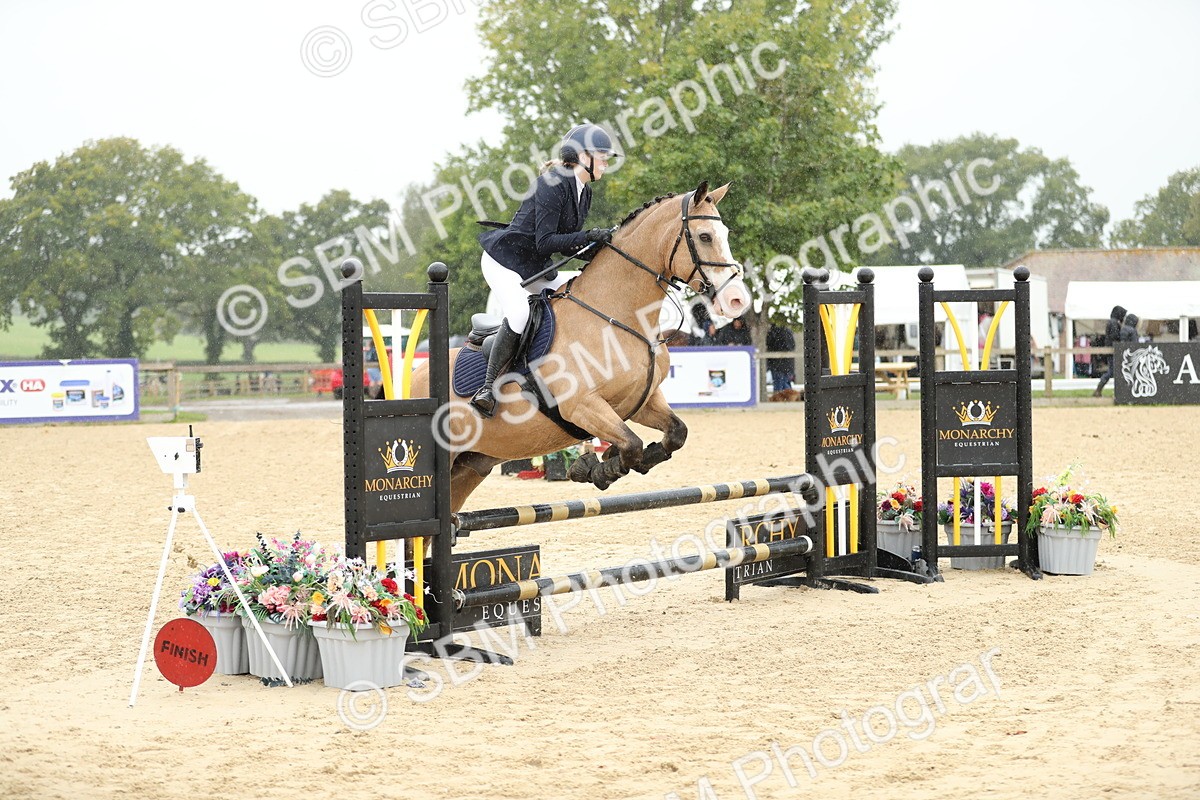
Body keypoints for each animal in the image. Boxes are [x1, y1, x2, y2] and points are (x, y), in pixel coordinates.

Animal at [409, 180, 749, 513]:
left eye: (725, 234)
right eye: (704, 236)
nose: (736, 300)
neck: (619, 316)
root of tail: (413, 376)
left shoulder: (642, 401)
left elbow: (675, 433)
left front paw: (612, 459)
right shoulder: (583, 406)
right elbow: (631, 445)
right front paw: (593, 468)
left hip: (471, 466)